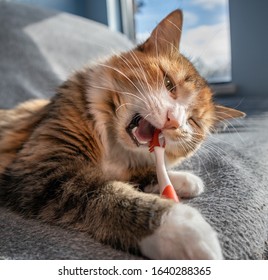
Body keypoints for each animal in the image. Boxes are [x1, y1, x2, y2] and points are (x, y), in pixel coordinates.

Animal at [0, 9, 245, 260]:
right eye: (169, 84)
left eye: (192, 121)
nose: (174, 121)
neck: (114, 146)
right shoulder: (47, 168)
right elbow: (111, 194)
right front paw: (181, 228)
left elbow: (142, 174)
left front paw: (183, 180)